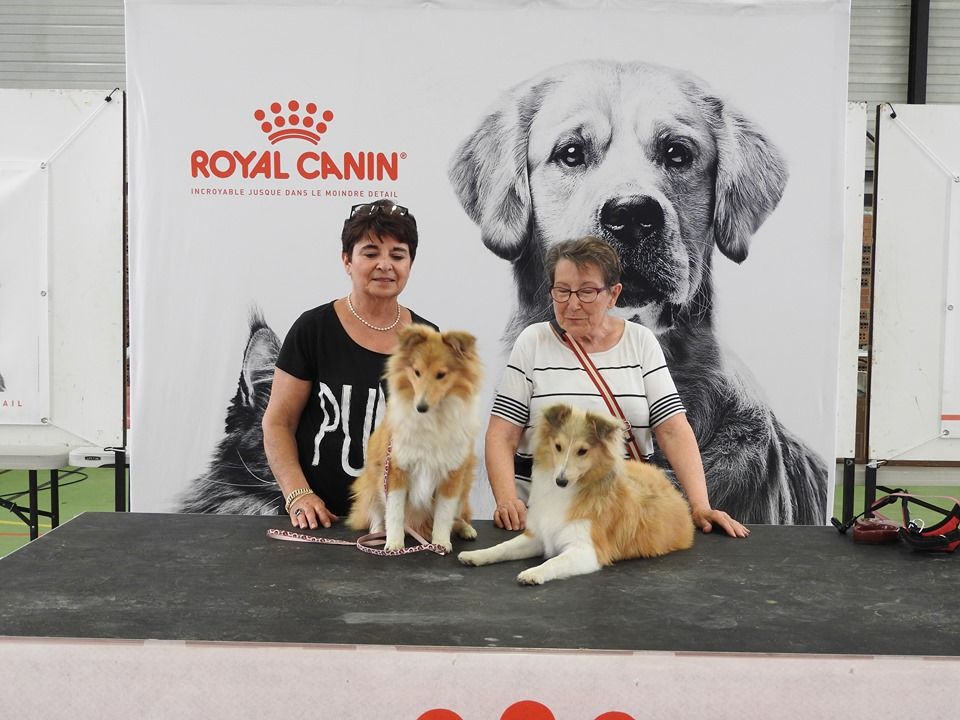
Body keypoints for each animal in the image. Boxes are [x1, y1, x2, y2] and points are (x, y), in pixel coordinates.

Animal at [346, 324, 484, 556]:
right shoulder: (396, 470)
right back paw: (377, 532)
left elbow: (444, 514)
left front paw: (441, 542)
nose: (421, 407)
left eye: (441, 375)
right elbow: (394, 512)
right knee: (375, 513)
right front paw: (394, 543)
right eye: (417, 372)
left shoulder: (452, 475)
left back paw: (466, 529)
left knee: (457, 516)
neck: (432, 419)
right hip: (370, 483)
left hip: (464, 487)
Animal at [458, 402, 688, 588]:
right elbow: (503, 547)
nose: (560, 481)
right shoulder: (538, 537)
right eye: (558, 446)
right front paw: (475, 555)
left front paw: (533, 573)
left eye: (583, 451)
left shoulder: (586, 550)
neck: (569, 492)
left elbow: (554, 561)